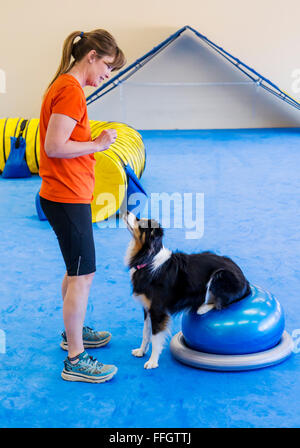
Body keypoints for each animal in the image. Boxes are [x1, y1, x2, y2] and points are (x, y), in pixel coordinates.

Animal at [123, 212, 250, 370]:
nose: (126, 212)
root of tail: (245, 279)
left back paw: (202, 307)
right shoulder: (147, 308)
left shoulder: (158, 310)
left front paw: (152, 361)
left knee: (222, 301)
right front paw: (141, 351)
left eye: (140, 222)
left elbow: (155, 336)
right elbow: (145, 332)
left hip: (220, 275)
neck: (148, 258)